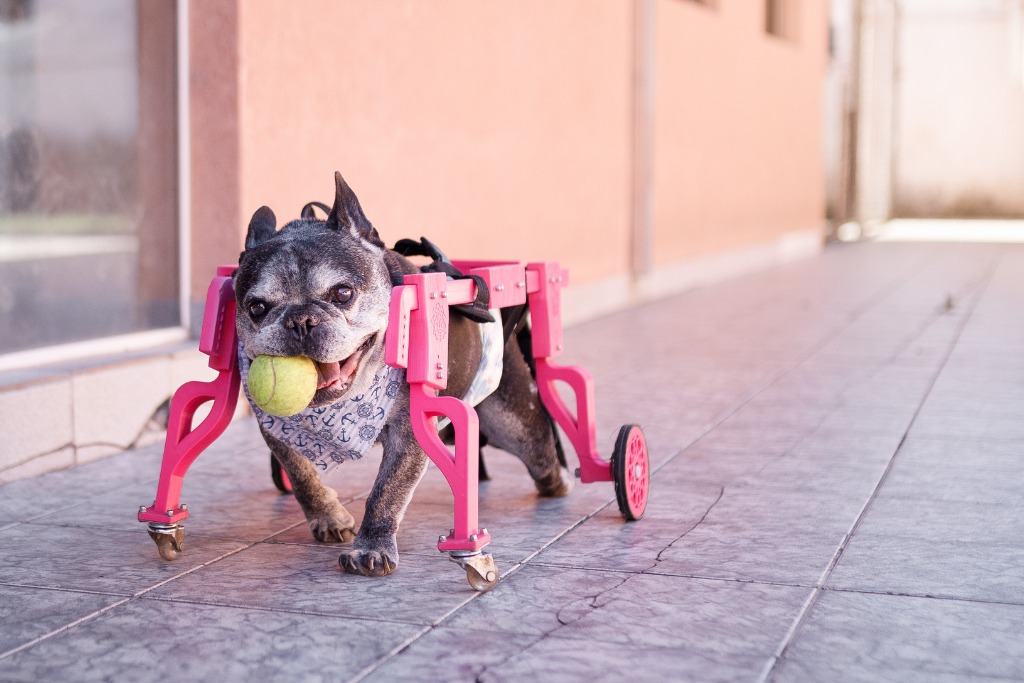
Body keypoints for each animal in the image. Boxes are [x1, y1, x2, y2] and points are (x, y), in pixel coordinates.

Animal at [234, 172, 577, 577]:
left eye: (343, 293)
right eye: (257, 307)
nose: (301, 320)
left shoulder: (408, 434)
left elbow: (386, 491)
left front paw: (371, 547)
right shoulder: (277, 428)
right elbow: (301, 474)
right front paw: (329, 517)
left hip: (515, 424)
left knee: (542, 457)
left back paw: (562, 482)